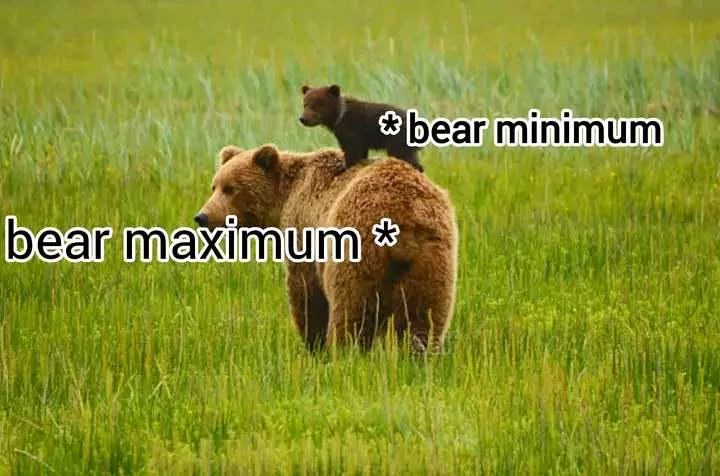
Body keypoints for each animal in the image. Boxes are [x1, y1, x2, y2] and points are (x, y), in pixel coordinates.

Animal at [194, 144, 457, 354]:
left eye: (231, 188)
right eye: (214, 186)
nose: (202, 217)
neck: (284, 199)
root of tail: (403, 214)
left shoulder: (304, 228)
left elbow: (305, 292)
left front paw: (313, 344)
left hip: (357, 251)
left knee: (352, 308)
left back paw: (344, 353)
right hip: (432, 257)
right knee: (425, 314)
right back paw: (418, 354)